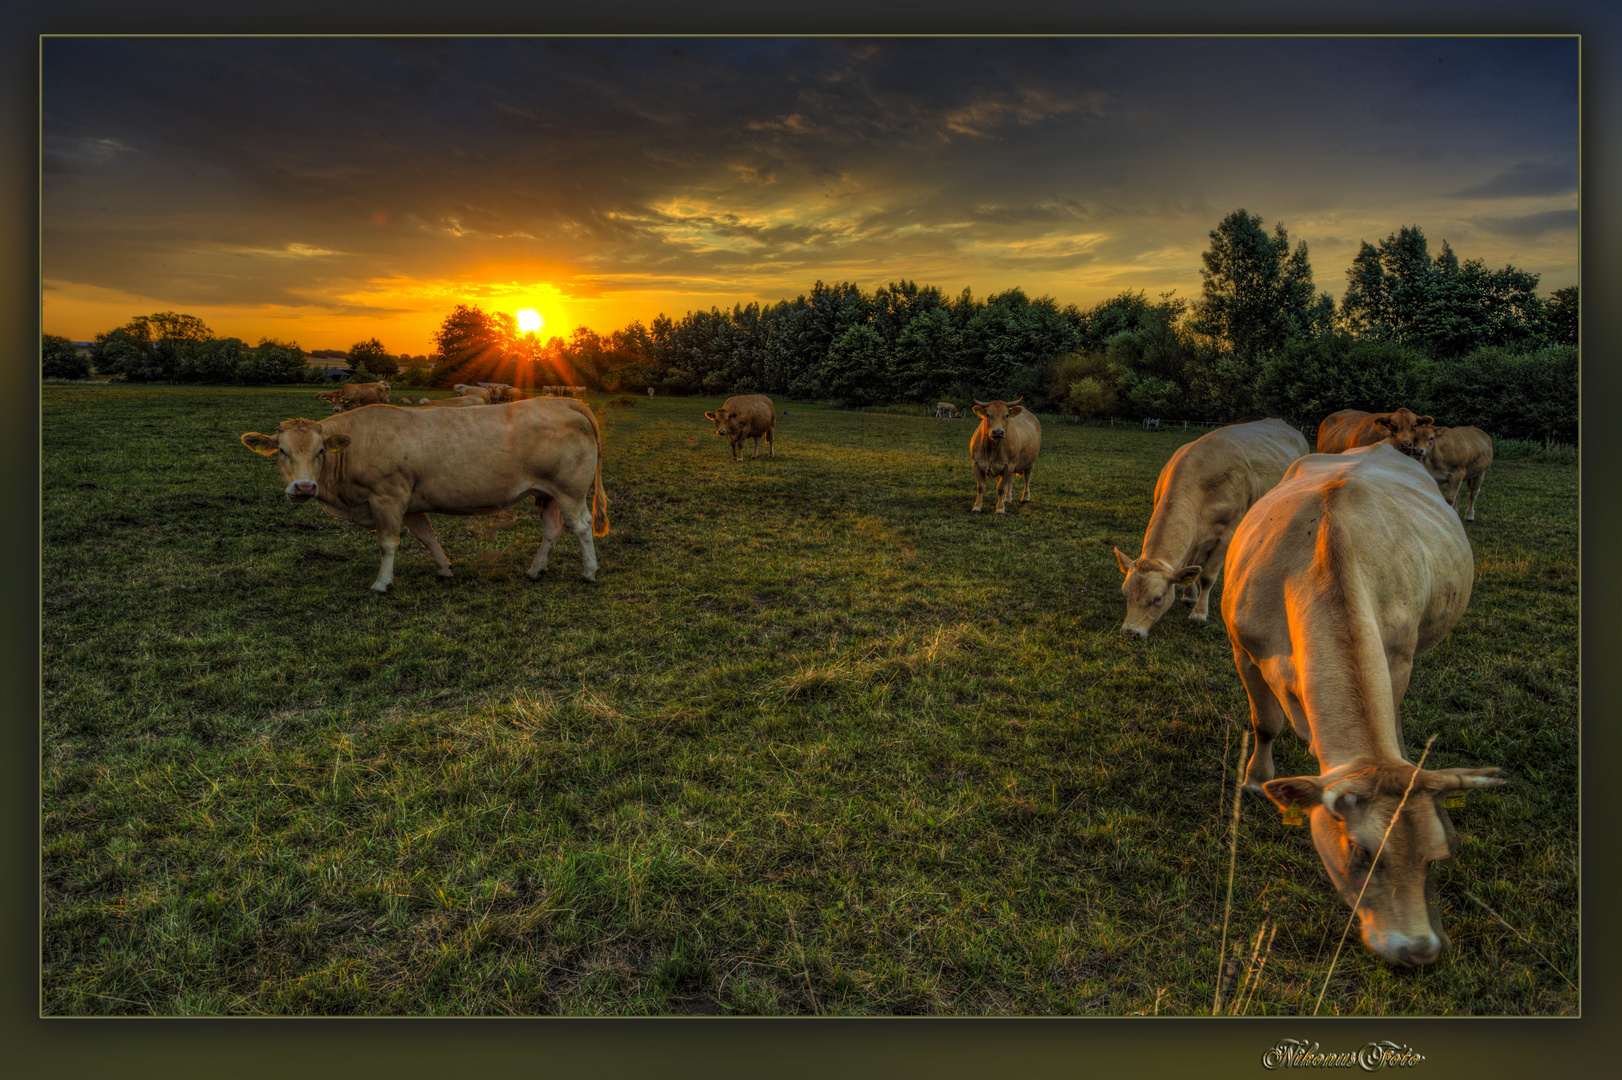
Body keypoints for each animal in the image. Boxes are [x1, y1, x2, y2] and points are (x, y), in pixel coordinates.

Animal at [243, 395, 609, 590]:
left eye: (320, 451)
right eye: (281, 451)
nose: (304, 487)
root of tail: (563, 402)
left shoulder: (387, 497)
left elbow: (388, 543)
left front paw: (382, 583)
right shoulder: (410, 503)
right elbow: (427, 537)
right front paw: (444, 568)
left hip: (570, 490)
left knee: (581, 526)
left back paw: (590, 571)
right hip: (547, 493)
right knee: (552, 529)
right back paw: (535, 570)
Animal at [1109, 415, 1310, 635]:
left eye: (1158, 598)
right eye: (1125, 594)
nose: (1130, 632)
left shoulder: (1227, 534)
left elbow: (1207, 576)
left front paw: (1199, 613)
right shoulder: (1195, 535)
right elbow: (1191, 566)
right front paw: (1190, 595)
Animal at [1219, 441, 1498, 960]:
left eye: (1438, 855)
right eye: (1361, 852)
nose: (1419, 950)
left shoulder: (1398, 658)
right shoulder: (1243, 648)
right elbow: (1266, 723)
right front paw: (1256, 781)